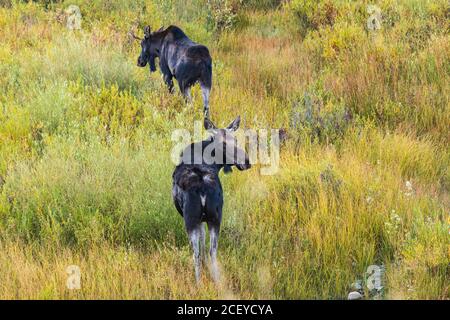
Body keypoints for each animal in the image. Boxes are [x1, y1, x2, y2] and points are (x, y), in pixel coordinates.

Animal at [172, 116, 251, 282]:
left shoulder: (198, 220)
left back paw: (199, 283)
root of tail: (202, 188)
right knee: (213, 251)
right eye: (224, 143)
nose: (247, 161)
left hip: (191, 219)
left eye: (235, 139)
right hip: (216, 217)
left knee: (196, 254)